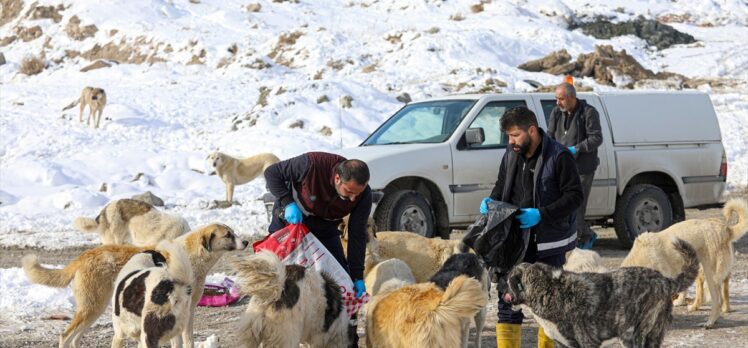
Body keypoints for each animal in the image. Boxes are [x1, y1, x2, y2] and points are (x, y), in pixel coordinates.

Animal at [21, 223, 245, 348]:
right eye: (228, 235)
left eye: (234, 233)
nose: (245, 242)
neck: (193, 255)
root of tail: (83, 256)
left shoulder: (188, 312)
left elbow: (187, 339)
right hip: (92, 307)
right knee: (65, 336)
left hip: (94, 309)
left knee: (75, 339)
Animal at [506, 238, 700, 348]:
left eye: (508, 280)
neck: (549, 289)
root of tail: (665, 280)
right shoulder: (562, 344)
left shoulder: (587, 343)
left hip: (632, 336)